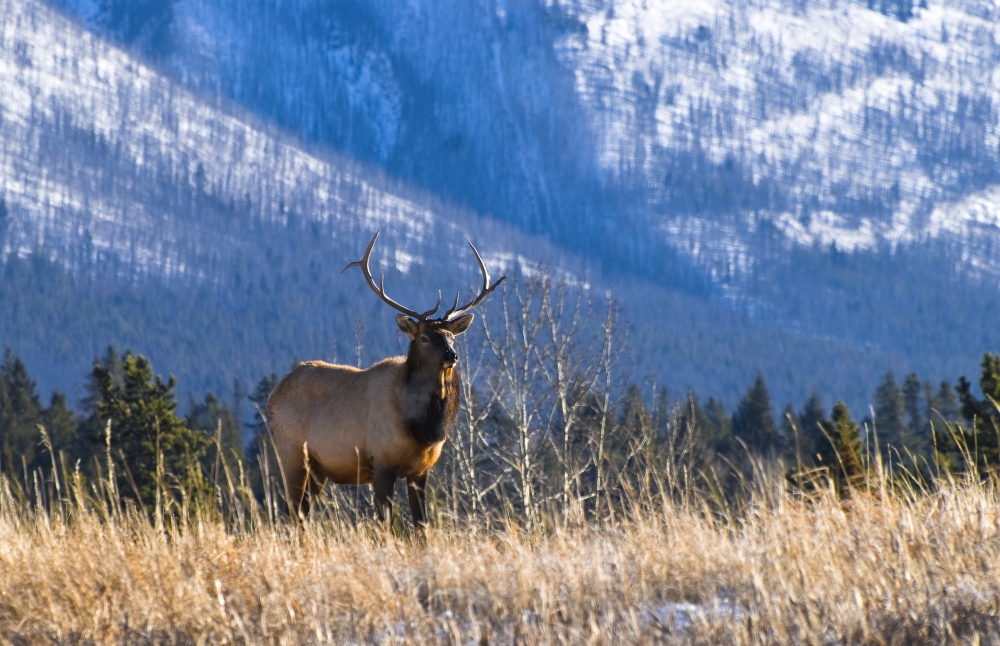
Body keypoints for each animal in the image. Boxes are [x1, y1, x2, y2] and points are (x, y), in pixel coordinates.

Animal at [266, 230, 504, 530]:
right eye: (424, 338)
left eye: (451, 336)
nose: (452, 355)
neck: (422, 429)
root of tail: (272, 396)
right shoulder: (381, 463)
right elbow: (387, 525)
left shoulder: (420, 471)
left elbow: (422, 526)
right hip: (291, 452)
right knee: (290, 512)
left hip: (319, 469)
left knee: (301, 514)